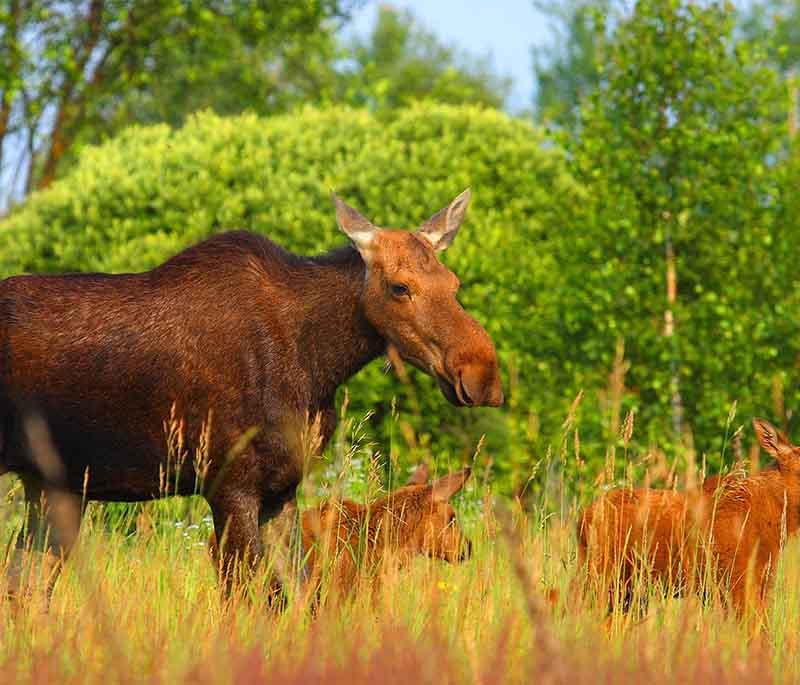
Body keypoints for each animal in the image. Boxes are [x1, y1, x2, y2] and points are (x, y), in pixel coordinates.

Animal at [0, 188, 500, 600]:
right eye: (399, 287)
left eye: (454, 284)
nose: (482, 373)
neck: (318, 362)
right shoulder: (229, 483)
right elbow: (247, 597)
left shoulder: (281, 490)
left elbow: (298, 595)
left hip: (52, 485)